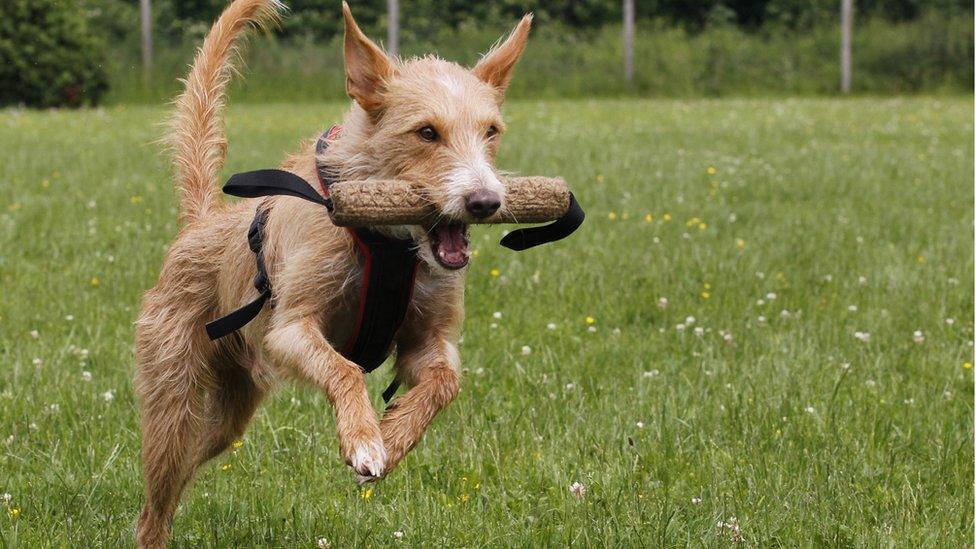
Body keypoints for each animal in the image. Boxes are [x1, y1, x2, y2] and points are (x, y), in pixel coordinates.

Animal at [132, 0, 532, 544]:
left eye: (491, 131)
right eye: (427, 132)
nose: (486, 201)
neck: (389, 244)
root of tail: (202, 222)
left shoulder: (429, 341)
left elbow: (445, 383)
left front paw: (394, 435)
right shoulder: (289, 329)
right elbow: (344, 368)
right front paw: (364, 437)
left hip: (227, 414)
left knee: (185, 473)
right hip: (173, 398)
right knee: (156, 499)